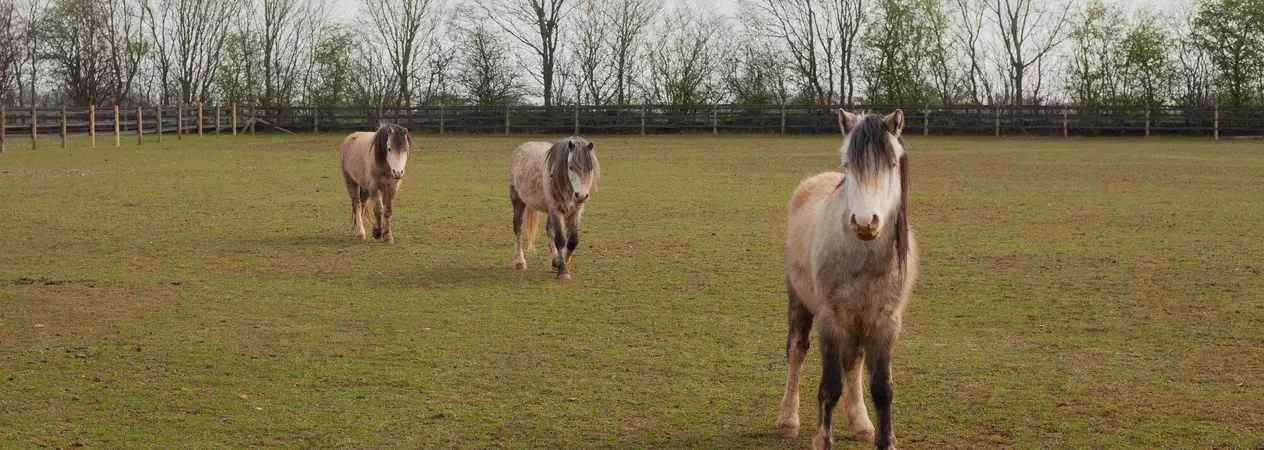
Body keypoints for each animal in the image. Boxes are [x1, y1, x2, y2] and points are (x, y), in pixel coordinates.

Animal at [508, 137, 600, 280]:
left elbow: (572, 240)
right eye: (570, 167)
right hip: (518, 201)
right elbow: (561, 239)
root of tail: (522, 147)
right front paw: (563, 270)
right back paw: (520, 262)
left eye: (590, 168)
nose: (581, 196)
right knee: (518, 227)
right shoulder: (557, 210)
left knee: (549, 229)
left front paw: (559, 262)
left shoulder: (575, 211)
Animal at [776, 109, 918, 450]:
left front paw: (884, 439)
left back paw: (861, 424)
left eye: (891, 163)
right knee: (797, 351)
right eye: (847, 164)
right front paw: (822, 440)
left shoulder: (885, 323)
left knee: (854, 362)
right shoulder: (831, 320)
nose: (865, 222)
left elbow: (882, 388)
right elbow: (830, 387)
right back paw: (788, 420)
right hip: (800, 303)